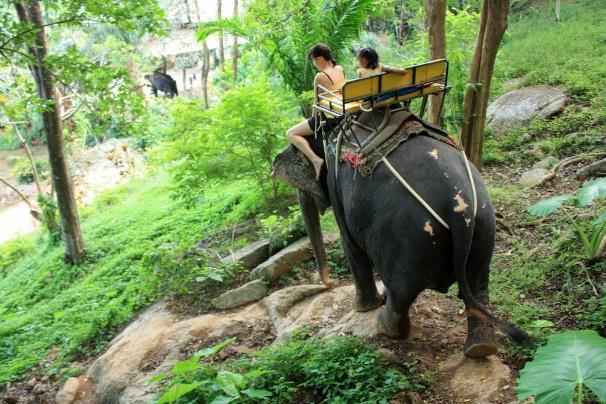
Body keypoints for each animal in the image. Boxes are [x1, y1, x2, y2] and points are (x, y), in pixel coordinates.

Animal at [272, 109, 532, 356]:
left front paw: (364, 308)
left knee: (401, 290)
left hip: (407, 241)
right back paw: (480, 348)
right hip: (484, 228)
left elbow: (350, 244)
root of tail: (460, 210)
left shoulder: (337, 187)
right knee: (478, 283)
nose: (327, 284)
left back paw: (384, 327)